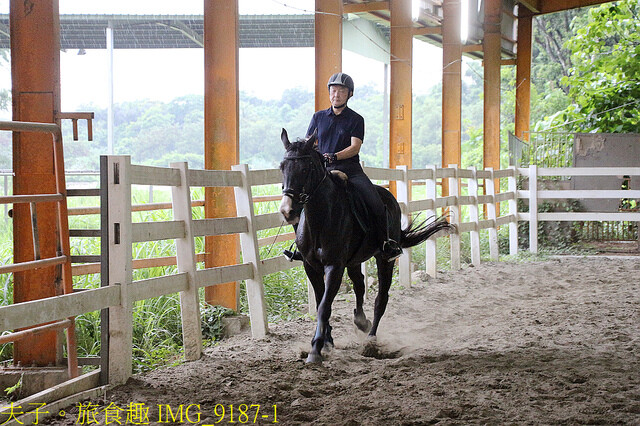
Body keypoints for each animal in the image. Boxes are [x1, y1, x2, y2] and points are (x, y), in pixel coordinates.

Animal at [278, 128, 454, 363]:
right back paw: (361, 322)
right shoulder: (311, 266)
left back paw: (371, 340)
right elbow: (320, 303)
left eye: (306, 169)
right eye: (282, 167)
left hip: (385, 259)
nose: (287, 211)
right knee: (360, 284)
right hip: (353, 261)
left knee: (381, 299)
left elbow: (324, 306)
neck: (322, 219)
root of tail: (389, 197)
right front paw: (327, 342)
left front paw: (316, 350)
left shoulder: (334, 266)